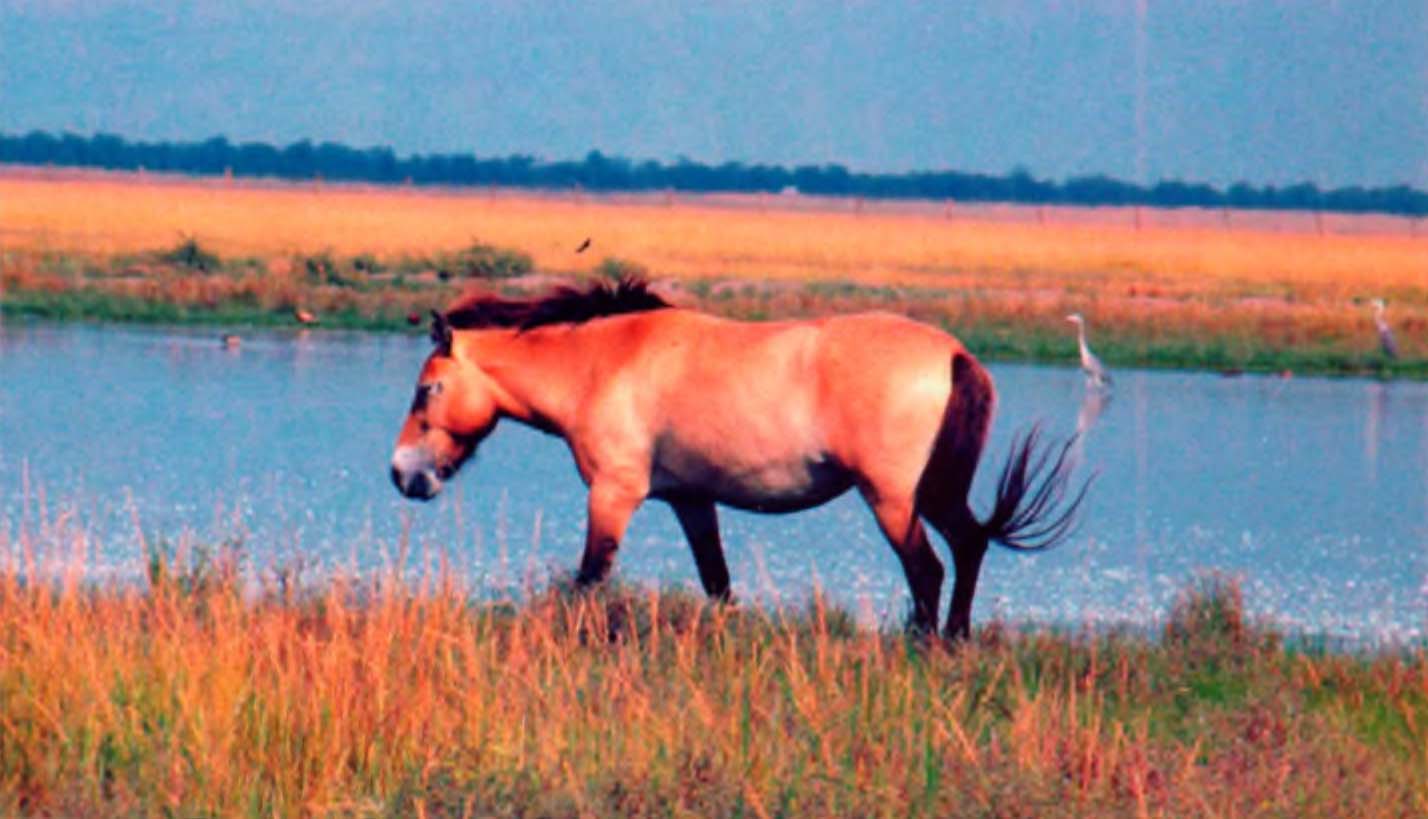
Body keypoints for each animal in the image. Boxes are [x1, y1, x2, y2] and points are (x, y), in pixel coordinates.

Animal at [385, 279, 1085, 639]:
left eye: (428, 389)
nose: (402, 474)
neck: (604, 361)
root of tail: (955, 355)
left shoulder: (613, 494)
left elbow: (589, 578)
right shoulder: (691, 501)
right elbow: (717, 582)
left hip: (892, 500)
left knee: (928, 569)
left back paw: (926, 645)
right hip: (933, 494)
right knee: (968, 545)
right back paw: (957, 640)